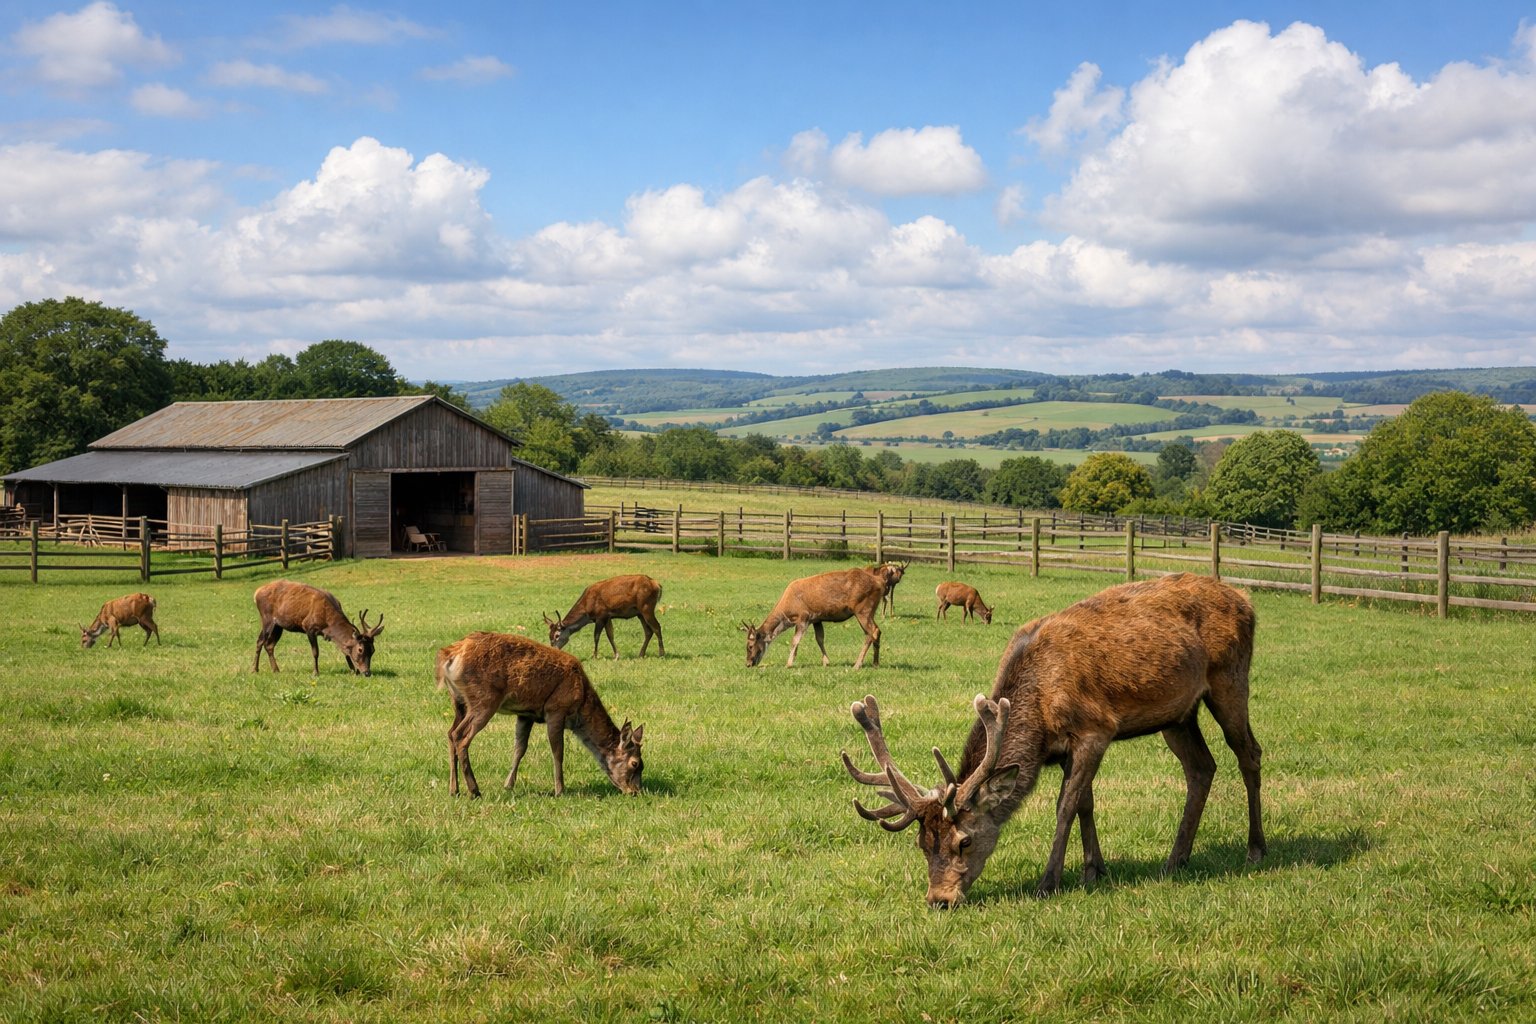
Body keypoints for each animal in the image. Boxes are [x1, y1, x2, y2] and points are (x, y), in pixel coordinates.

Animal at [252, 579, 383, 676]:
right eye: (360, 649)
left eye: (373, 650)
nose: (367, 672)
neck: (328, 625)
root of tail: (256, 593)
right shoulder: (309, 627)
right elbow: (315, 652)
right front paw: (315, 672)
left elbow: (344, 650)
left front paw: (353, 671)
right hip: (267, 618)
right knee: (260, 641)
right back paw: (254, 669)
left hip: (278, 625)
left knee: (269, 645)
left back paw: (275, 669)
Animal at [436, 631, 645, 797]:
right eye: (635, 763)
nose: (635, 792)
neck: (581, 702)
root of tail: (449, 656)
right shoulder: (556, 709)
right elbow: (558, 751)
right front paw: (560, 790)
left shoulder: (526, 714)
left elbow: (519, 748)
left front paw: (508, 785)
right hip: (484, 700)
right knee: (460, 736)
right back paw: (474, 790)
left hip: (459, 702)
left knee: (450, 733)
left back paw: (454, 790)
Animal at [742, 568, 884, 669]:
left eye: (750, 646)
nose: (748, 664)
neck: (788, 611)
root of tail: (880, 582)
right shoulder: (817, 619)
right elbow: (819, 639)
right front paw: (826, 662)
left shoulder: (804, 617)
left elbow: (795, 640)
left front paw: (789, 663)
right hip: (869, 611)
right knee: (876, 631)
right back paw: (875, 663)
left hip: (863, 609)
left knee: (872, 631)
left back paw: (857, 664)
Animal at [842, 572, 1265, 908]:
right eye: (922, 844)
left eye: (964, 841)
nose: (939, 900)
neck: (1039, 717)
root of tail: (1246, 600)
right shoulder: (1064, 748)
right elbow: (1086, 804)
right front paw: (1095, 870)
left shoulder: (1096, 730)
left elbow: (1066, 805)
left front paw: (1050, 882)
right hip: (1177, 714)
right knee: (1201, 767)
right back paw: (1177, 859)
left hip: (1230, 678)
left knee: (1249, 753)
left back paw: (1255, 849)